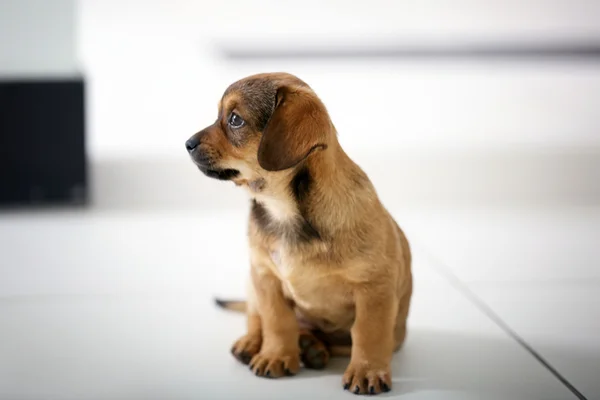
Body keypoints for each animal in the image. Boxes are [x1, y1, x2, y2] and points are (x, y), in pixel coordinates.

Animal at [186, 72, 412, 394]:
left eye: (234, 120)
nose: (187, 144)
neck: (284, 210)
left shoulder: (373, 289)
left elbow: (369, 334)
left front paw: (367, 371)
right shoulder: (265, 277)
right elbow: (276, 321)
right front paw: (276, 355)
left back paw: (312, 347)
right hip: (251, 283)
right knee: (255, 317)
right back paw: (256, 343)